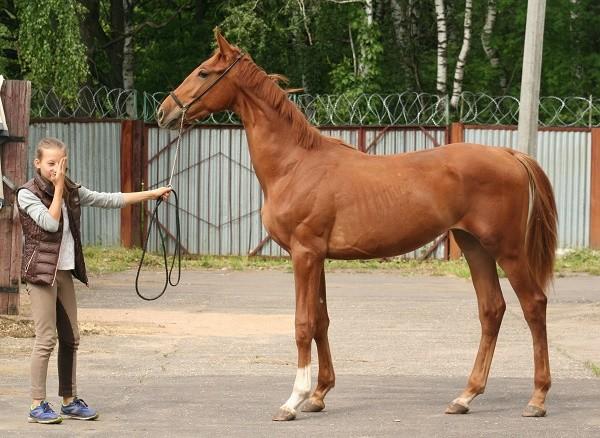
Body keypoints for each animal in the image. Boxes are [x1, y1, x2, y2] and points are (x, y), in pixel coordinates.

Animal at [158, 30, 556, 420]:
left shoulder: (304, 254)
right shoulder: (316, 257)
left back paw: (537, 398)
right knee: (492, 310)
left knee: (534, 305)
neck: (295, 164)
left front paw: (293, 400)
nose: (164, 112)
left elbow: (303, 324)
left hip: (507, 250)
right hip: (475, 248)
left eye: (204, 73)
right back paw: (465, 397)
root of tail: (509, 154)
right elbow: (321, 321)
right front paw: (319, 395)